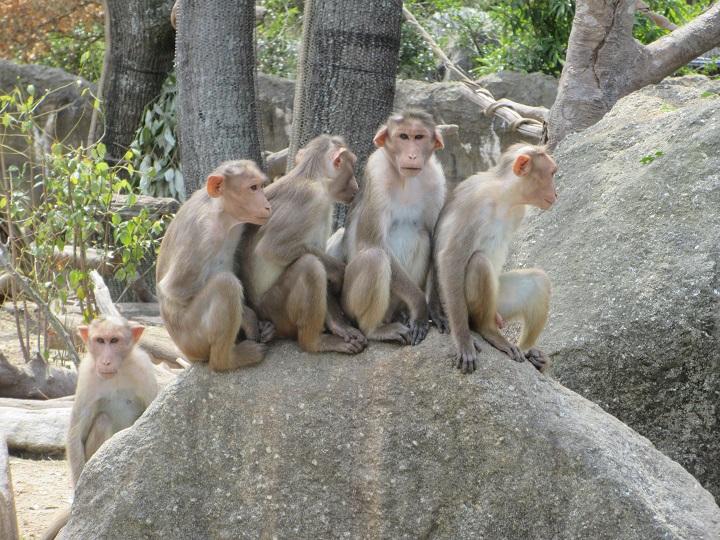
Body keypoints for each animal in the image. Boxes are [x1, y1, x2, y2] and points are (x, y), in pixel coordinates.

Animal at [41, 316, 158, 540]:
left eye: (114, 340)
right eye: (100, 341)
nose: (105, 361)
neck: (118, 373)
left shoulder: (144, 370)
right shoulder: (87, 376)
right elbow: (76, 434)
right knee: (103, 420)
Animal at [156, 160, 274, 372]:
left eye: (261, 186)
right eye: (253, 188)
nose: (267, 206)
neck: (221, 212)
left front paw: (256, 321)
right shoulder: (201, 233)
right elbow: (174, 290)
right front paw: (248, 317)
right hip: (193, 338)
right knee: (225, 284)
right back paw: (227, 360)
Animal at [240, 135, 368, 354]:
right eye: (352, 166)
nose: (357, 185)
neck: (312, 176)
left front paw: (339, 326)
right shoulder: (310, 199)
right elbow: (271, 248)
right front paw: (339, 271)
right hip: (275, 311)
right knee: (309, 266)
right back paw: (315, 342)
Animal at [328, 109, 450, 346]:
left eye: (418, 137)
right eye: (403, 136)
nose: (412, 155)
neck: (406, 180)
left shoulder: (436, 180)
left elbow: (434, 239)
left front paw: (434, 309)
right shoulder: (377, 174)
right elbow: (372, 242)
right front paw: (420, 306)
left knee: (421, 236)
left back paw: (400, 315)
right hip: (349, 302)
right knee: (375, 258)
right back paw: (375, 329)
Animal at [434, 141, 556, 374]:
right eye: (553, 173)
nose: (556, 192)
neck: (503, 197)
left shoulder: (519, 211)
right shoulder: (474, 202)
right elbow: (451, 258)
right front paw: (463, 341)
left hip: (500, 303)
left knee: (538, 281)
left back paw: (530, 355)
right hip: (472, 307)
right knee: (479, 263)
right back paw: (488, 331)